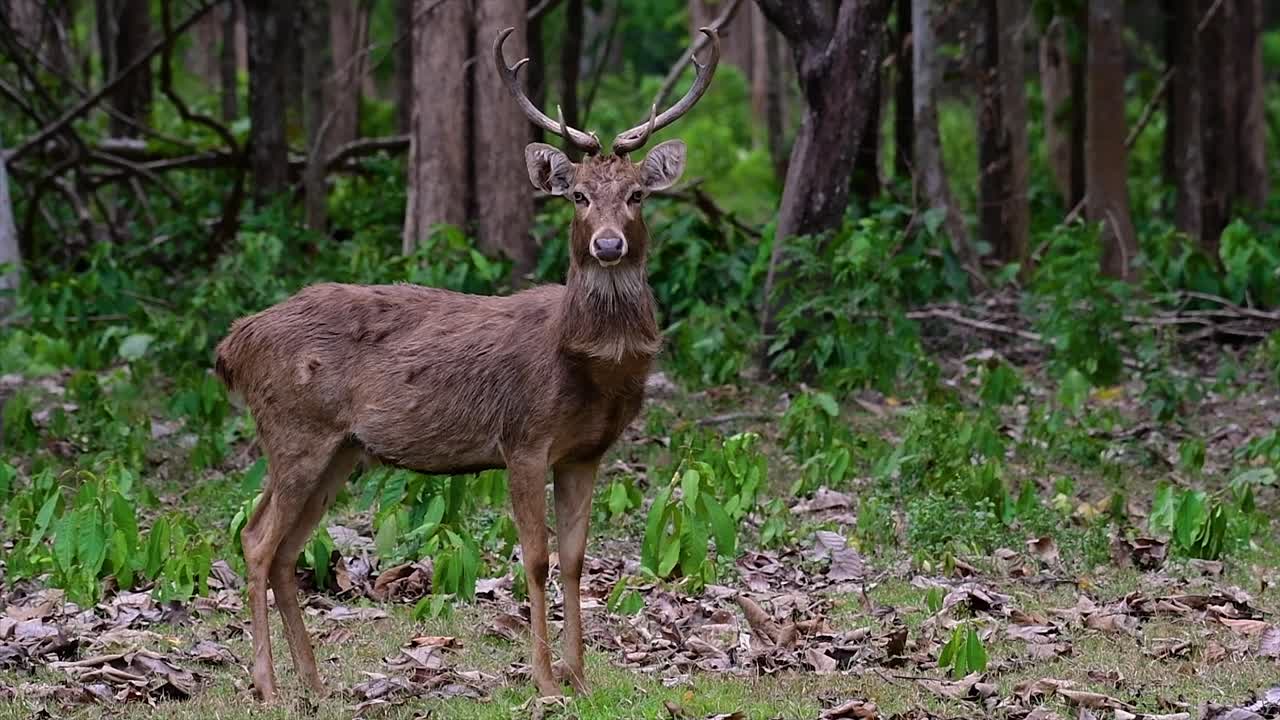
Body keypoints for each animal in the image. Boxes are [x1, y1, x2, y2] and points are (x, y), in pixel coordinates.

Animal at [213, 25, 720, 702]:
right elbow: (536, 558)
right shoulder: (524, 437)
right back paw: (268, 685)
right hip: (294, 428)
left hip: (339, 448)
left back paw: (315, 684)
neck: (587, 365)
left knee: (287, 548)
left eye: (637, 195)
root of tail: (233, 345)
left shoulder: (586, 452)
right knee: (255, 538)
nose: (608, 243)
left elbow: (577, 558)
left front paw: (581, 678)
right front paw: (546, 683)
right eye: (579, 196)